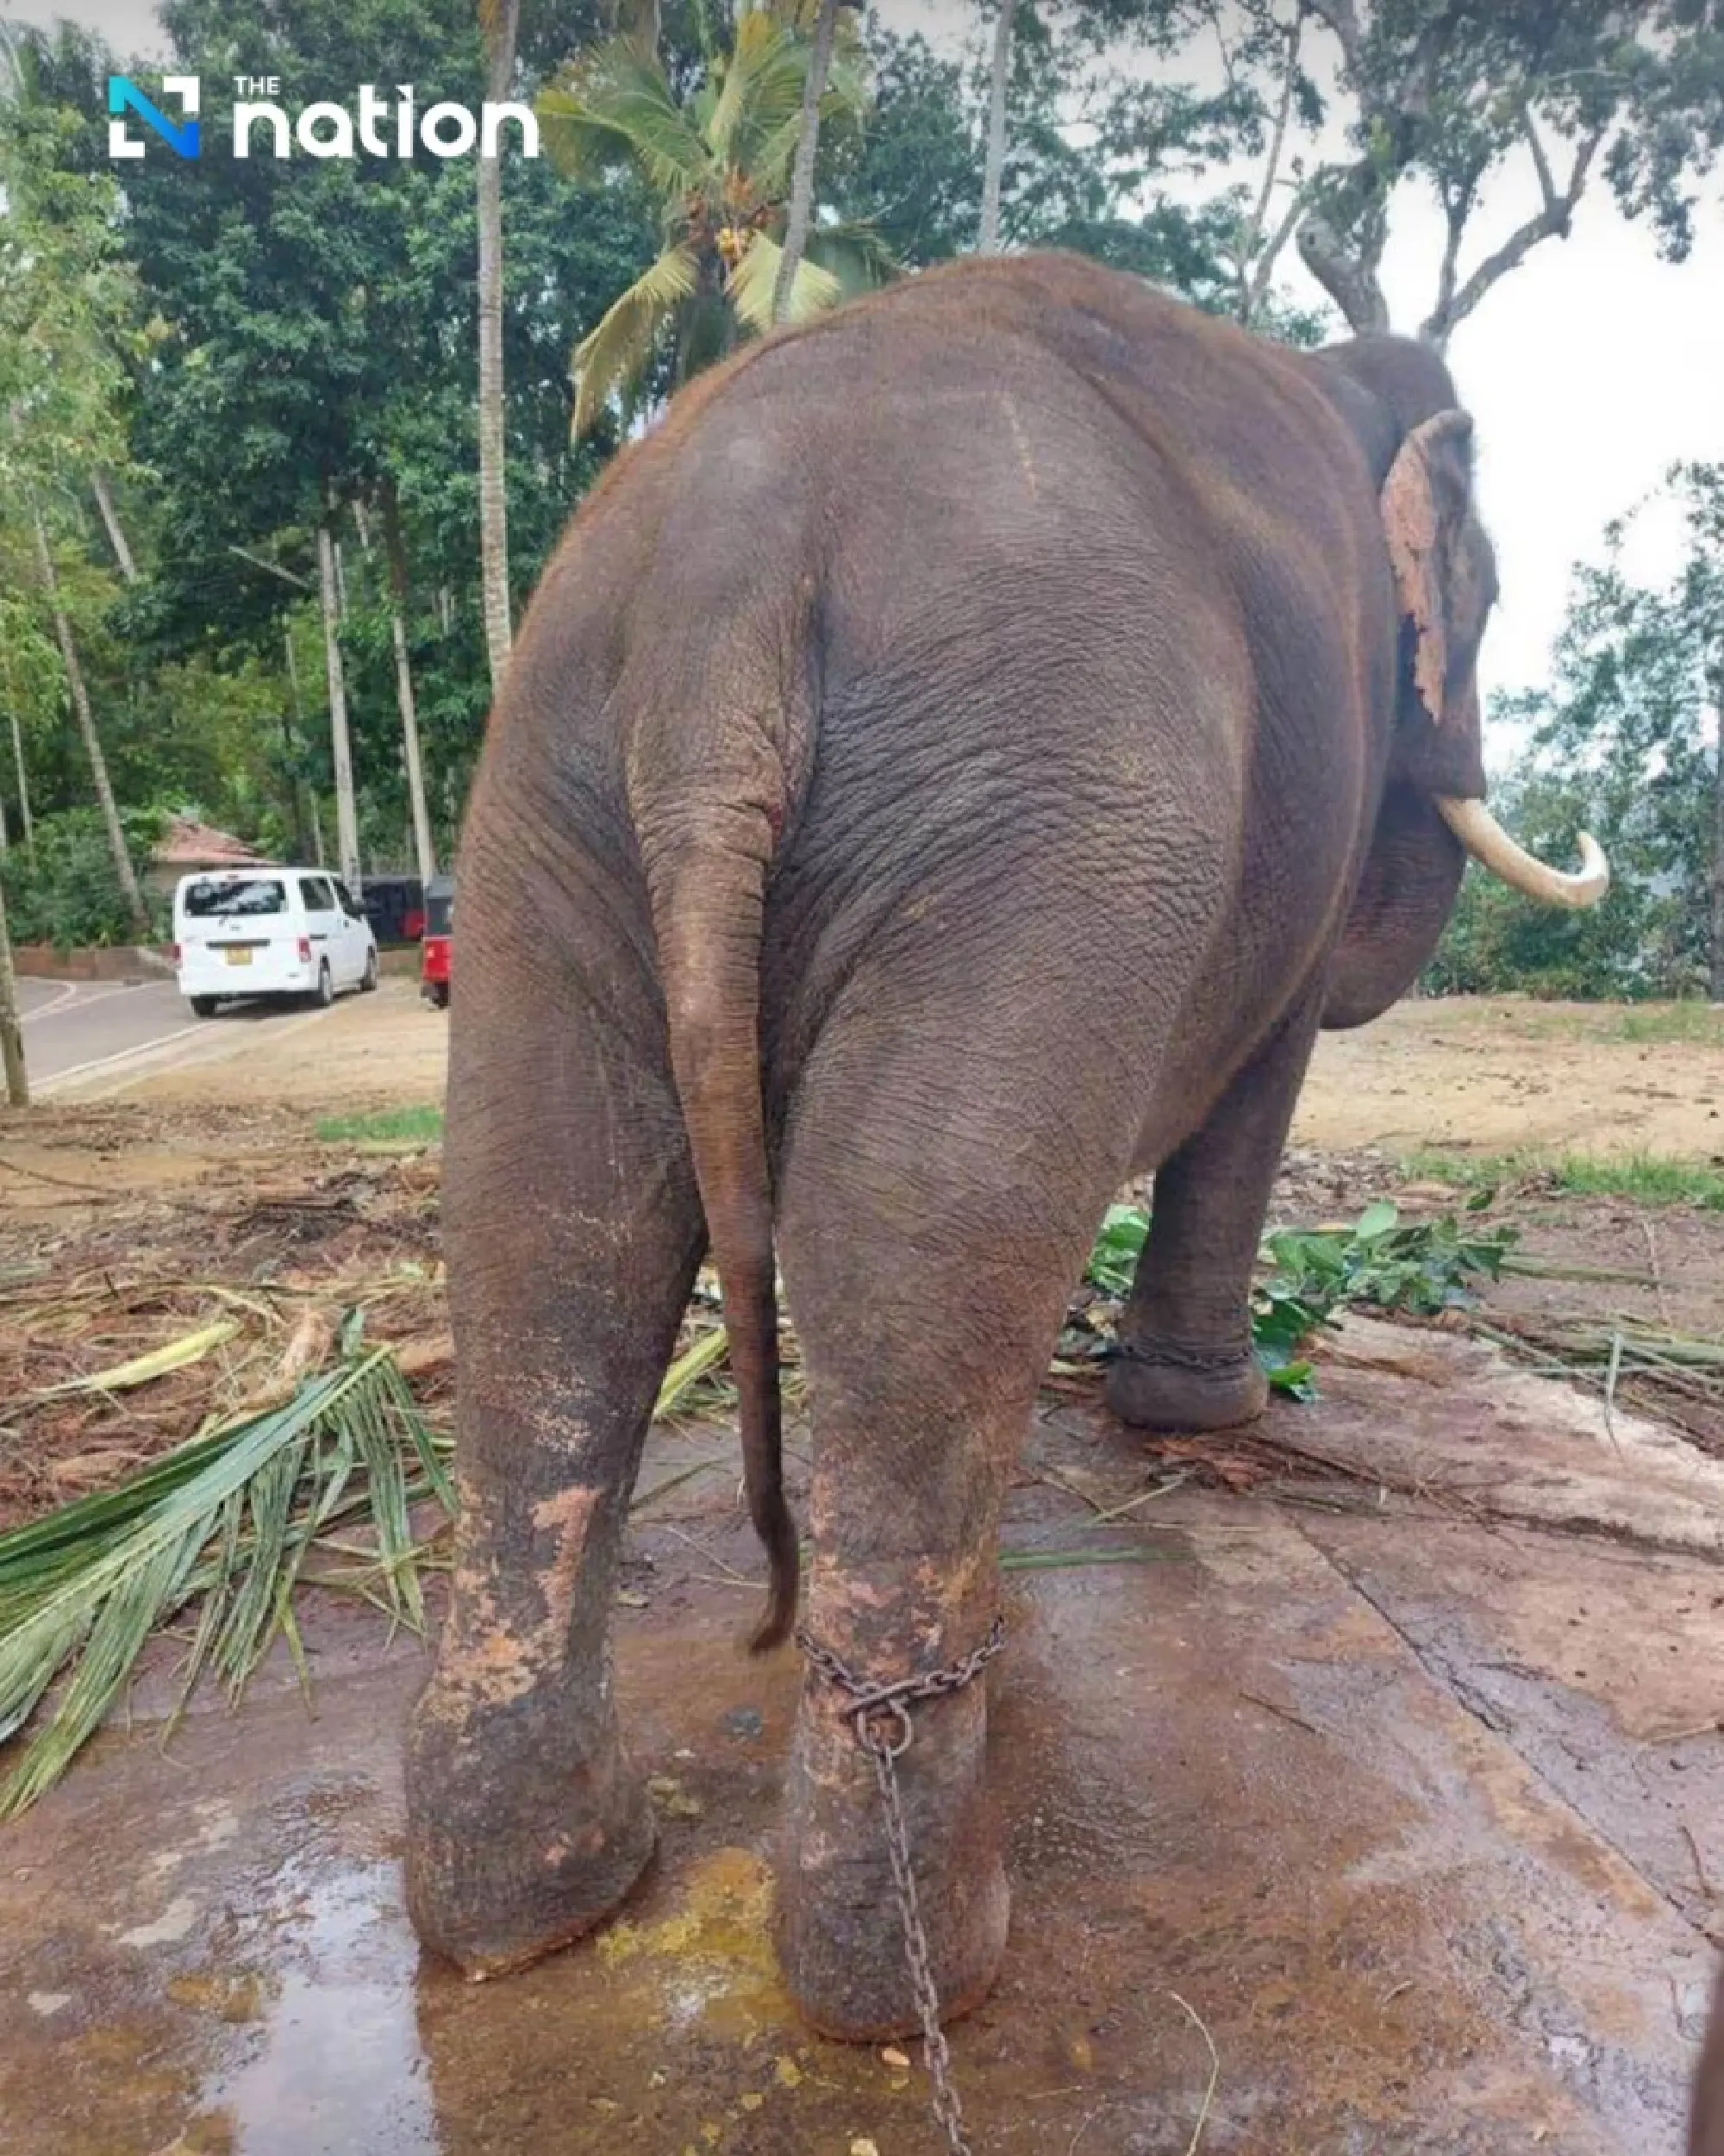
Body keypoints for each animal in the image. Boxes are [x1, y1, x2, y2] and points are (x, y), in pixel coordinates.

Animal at [402, 251, 1607, 2040]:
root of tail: (725, 583)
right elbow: (1266, 1069)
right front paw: (1210, 1413)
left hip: (547, 802)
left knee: (553, 1228)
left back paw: (539, 1905)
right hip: (1045, 822)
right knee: (908, 1242)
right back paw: (926, 1968)